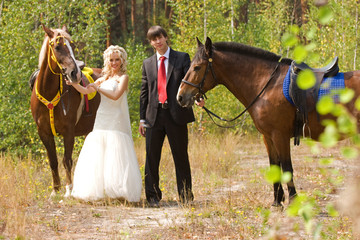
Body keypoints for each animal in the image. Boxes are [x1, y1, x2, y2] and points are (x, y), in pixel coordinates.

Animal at [30, 23, 100, 197]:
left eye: (72, 46)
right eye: (57, 47)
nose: (75, 73)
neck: (49, 94)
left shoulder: (68, 131)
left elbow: (67, 160)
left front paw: (68, 190)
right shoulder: (44, 133)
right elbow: (53, 161)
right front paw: (55, 190)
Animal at [176, 37, 360, 206]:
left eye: (197, 67)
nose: (180, 96)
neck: (267, 85)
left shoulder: (280, 136)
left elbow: (287, 167)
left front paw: (293, 200)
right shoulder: (268, 137)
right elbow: (275, 166)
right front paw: (277, 201)